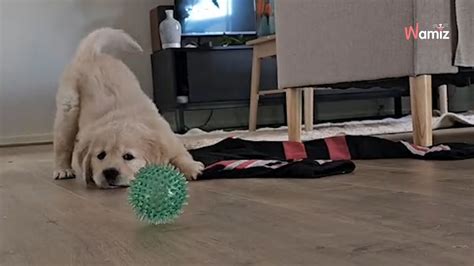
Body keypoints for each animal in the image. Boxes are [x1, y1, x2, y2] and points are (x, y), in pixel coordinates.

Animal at [53, 28, 204, 188]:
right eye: (101, 155)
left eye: (128, 156)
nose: (110, 172)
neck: (124, 118)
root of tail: (92, 55)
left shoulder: (170, 141)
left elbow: (181, 155)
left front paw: (193, 168)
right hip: (68, 108)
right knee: (62, 146)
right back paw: (62, 170)